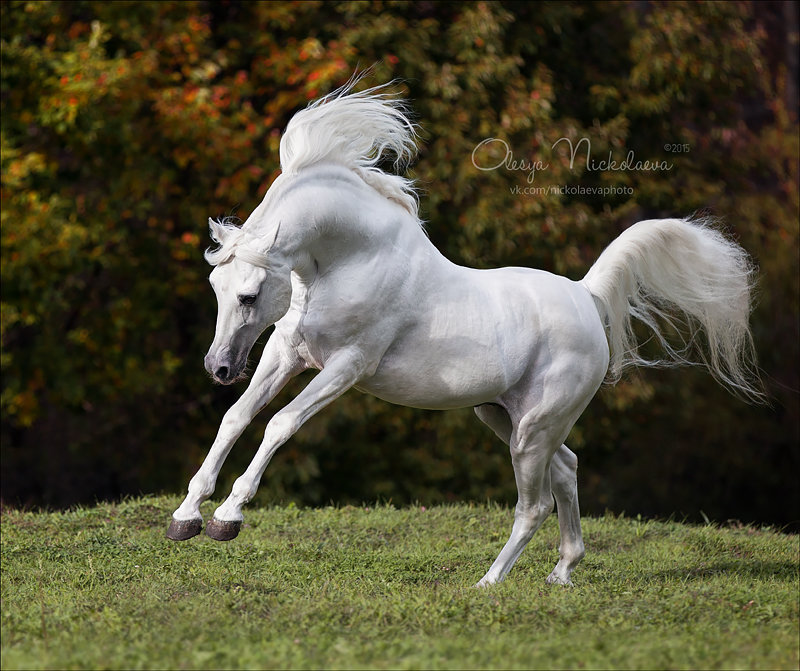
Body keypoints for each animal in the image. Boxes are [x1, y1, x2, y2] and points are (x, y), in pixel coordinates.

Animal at [164, 80, 764, 588]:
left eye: (248, 295)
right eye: (216, 285)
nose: (218, 367)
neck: (349, 260)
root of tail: (584, 295)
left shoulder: (347, 366)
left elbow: (279, 424)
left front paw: (228, 518)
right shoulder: (285, 354)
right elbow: (236, 417)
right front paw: (186, 516)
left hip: (532, 429)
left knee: (534, 505)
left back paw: (488, 584)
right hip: (503, 415)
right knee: (568, 470)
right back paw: (562, 573)